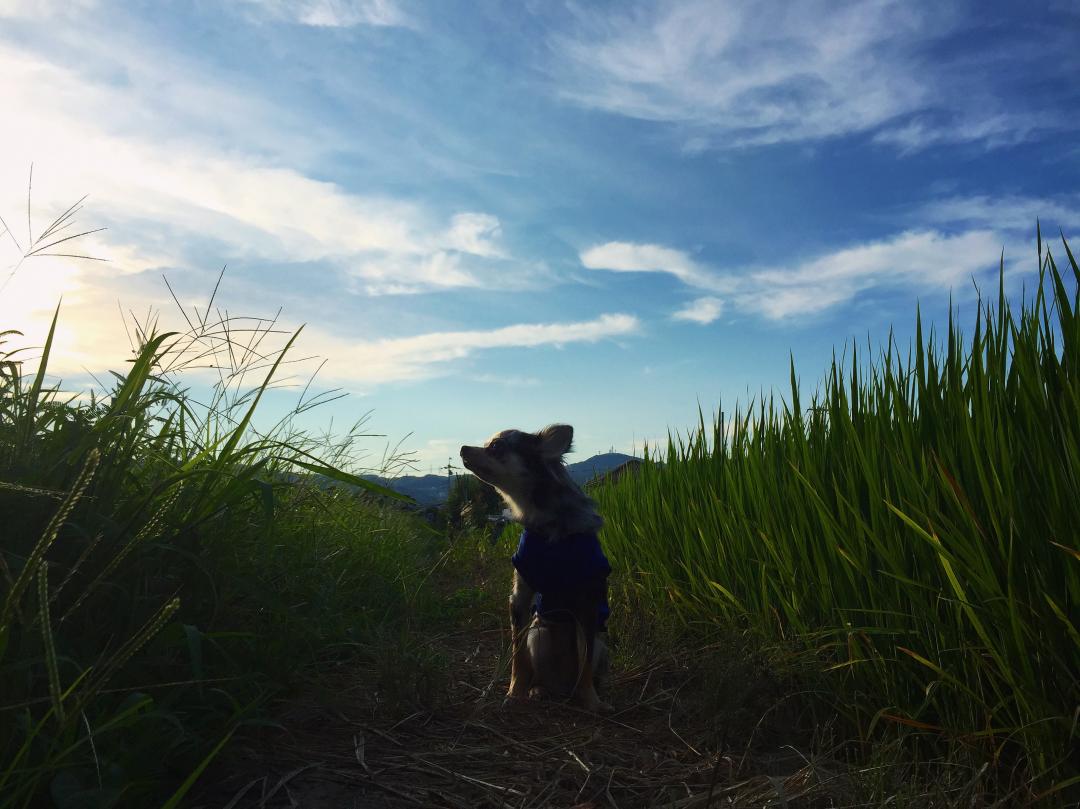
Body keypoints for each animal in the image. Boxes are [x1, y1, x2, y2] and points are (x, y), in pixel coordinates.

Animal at [457, 425, 617, 708]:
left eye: (496, 446)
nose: (463, 448)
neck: (545, 524)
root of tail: (561, 687)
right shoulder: (519, 599)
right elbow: (518, 657)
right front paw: (514, 693)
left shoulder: (588, 605)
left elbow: (585, 663)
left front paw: (592, 702)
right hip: (538, 633)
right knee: (538, 673)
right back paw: (537, 690)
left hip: (601, 644)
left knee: (585, 665)